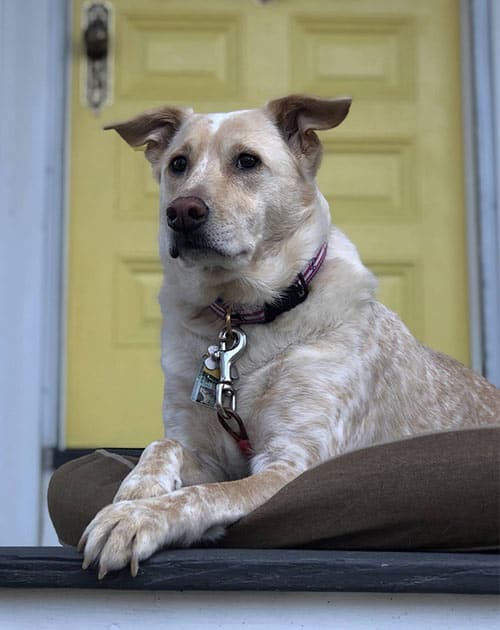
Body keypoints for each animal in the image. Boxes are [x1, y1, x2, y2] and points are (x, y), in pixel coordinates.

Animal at [79, 91, 500, 580]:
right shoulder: (205, 450)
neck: (242, 319)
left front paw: (135, 518)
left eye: (247, 161)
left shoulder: (289, 464)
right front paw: (136, 490)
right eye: (178, 164)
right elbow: (162, 445)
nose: (181, 212)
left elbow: (201, 497)